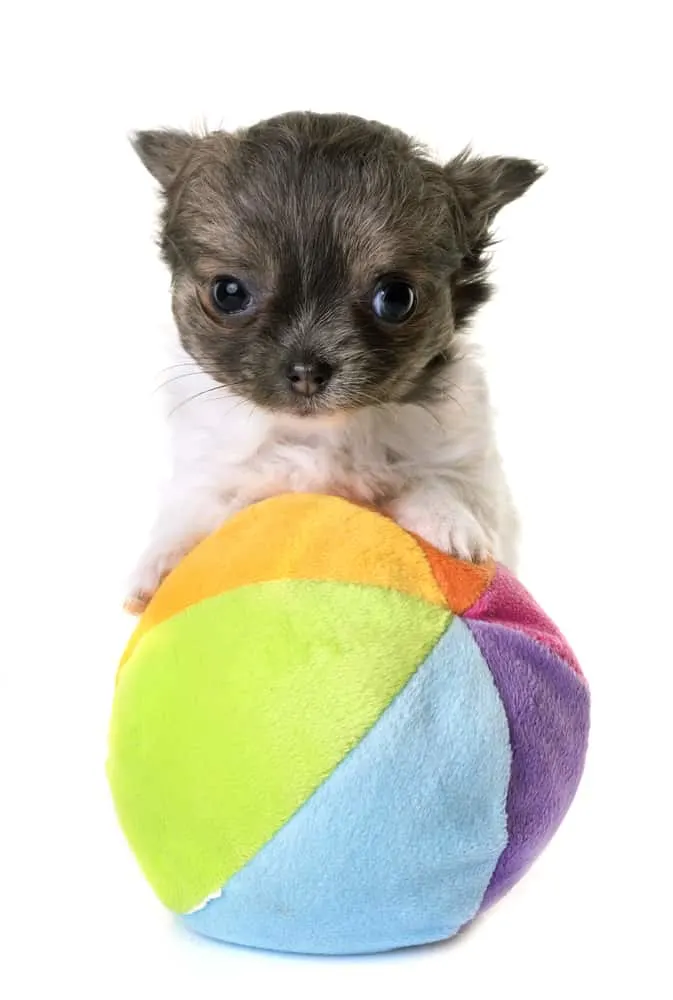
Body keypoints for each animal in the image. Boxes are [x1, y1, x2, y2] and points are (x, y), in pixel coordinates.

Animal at [124, 116, 540, 612]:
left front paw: (451, 525)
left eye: (395, 299)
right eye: (229, 293)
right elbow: (195, 507)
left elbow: (440, 484)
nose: (307, 372)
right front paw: (160, 562)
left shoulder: (469, 466)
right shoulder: (213, 470)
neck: (325, 433)